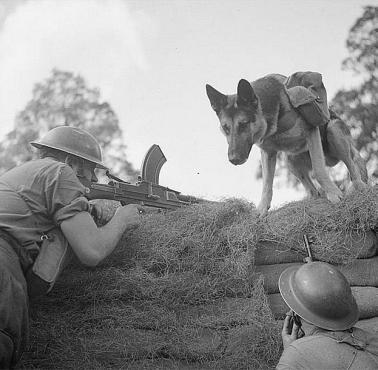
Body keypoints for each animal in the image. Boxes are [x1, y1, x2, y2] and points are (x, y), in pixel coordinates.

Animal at [205, 73, 368, 215]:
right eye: (225, 128)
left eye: (243, 124)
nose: (233, 160)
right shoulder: (268, 152)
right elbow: (266, 184)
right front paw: (262, 209)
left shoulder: (311, 132)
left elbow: (318, 170)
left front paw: (334, 193)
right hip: (290, 160)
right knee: (313, 191)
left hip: (334, 131)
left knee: (352, 167)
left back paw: (359, 186)